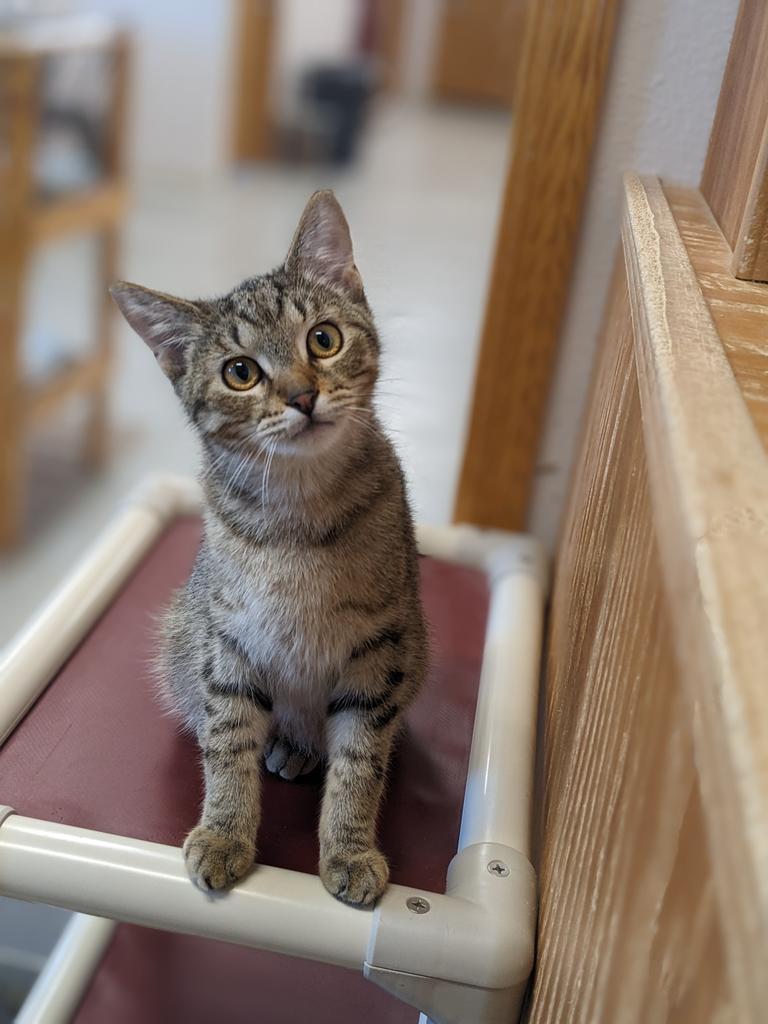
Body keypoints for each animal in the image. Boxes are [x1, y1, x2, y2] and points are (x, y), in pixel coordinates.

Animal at [112, 190, 430, 905]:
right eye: (240, 373)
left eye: (324, 338)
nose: (303, 395)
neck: (297, 515)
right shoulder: (229, 644)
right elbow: (228, 744)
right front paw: (224, 833)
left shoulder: (381, 653)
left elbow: (361, 760)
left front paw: (349, 847)